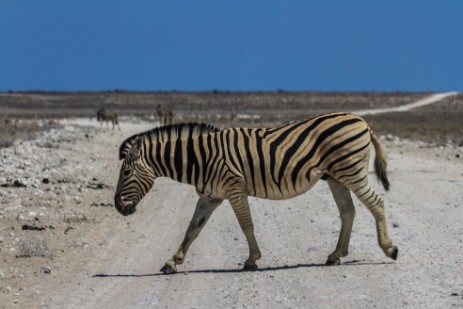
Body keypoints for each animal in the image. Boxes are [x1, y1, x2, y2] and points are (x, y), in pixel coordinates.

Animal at [115, 112, 398, 274]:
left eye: (126, 173)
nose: (117, 206)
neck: (200, 159)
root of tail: (362, 121)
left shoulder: (234, 188)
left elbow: (246, 225)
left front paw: (252, 260)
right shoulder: (210, 196)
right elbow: (192, 229)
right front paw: (172, 262)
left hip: (351, 171)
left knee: (376, 203)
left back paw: (390, 249)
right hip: (336, 176)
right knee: (348, 211)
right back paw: (335, 255)